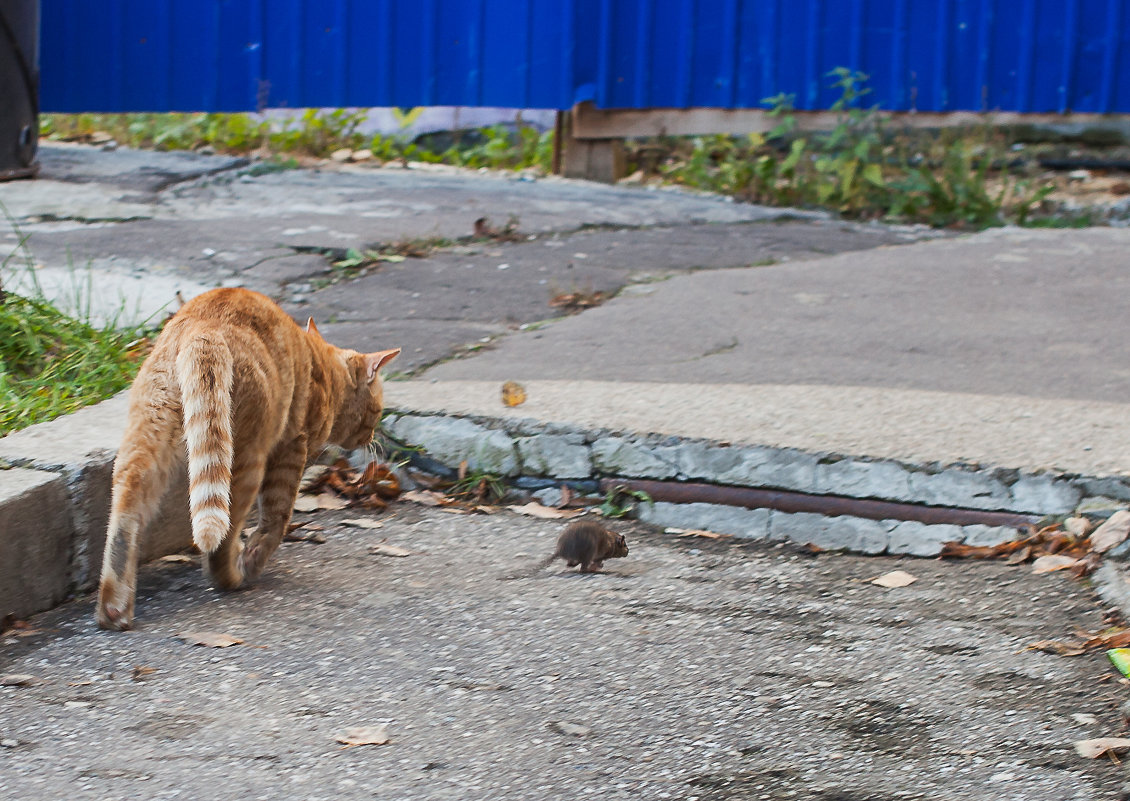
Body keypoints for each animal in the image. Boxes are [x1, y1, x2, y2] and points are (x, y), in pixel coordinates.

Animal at [96, 286, 402, 632]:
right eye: (378, 409)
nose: (372, 436)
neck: (324, 368)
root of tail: (203, 327)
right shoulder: (291, 449)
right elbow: (277, 516)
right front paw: (255, 556)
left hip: (144, 445)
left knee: (124, 520)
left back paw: (113, 610)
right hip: (246, 458)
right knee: (222, 540)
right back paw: (233, 577)